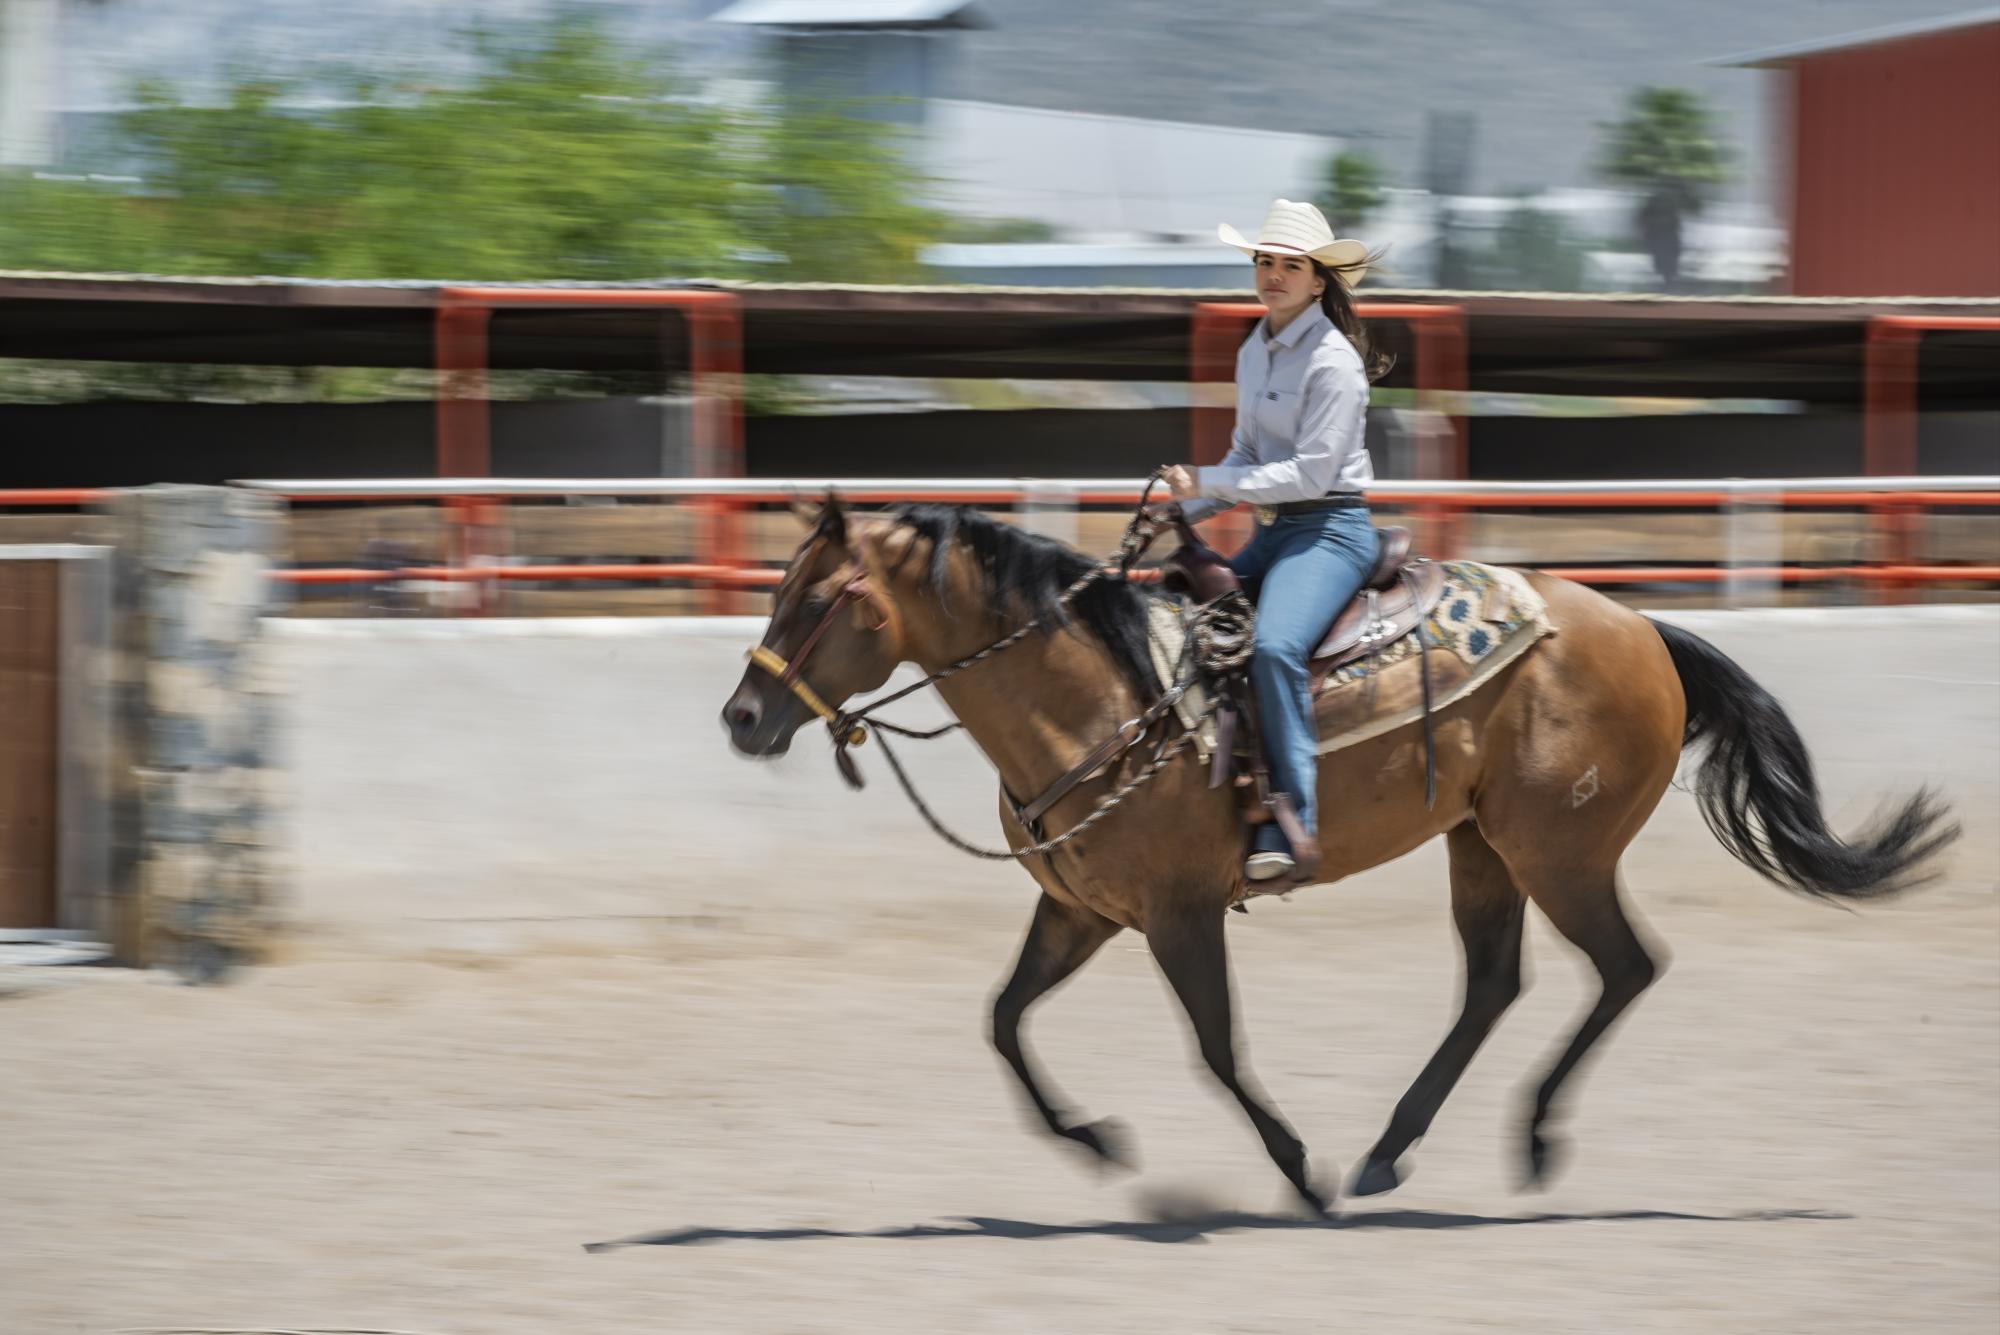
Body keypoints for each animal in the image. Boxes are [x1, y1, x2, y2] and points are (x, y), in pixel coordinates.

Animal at [720, 495, 1952, 1215]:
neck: (1104, 699)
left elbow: (1216, 1047)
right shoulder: (1081, 910)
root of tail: (1642, 628)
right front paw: (1094, 1143)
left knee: (1622, 968)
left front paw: (1295, 1168)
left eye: (819, 596)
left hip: (1558, 852)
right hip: (1481, 846)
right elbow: (1002, 1018)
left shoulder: (1177, 913)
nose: (741, 718)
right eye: (776, 586)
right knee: (1494, 983)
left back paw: (1524, 1143)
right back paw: (1389, 1150)